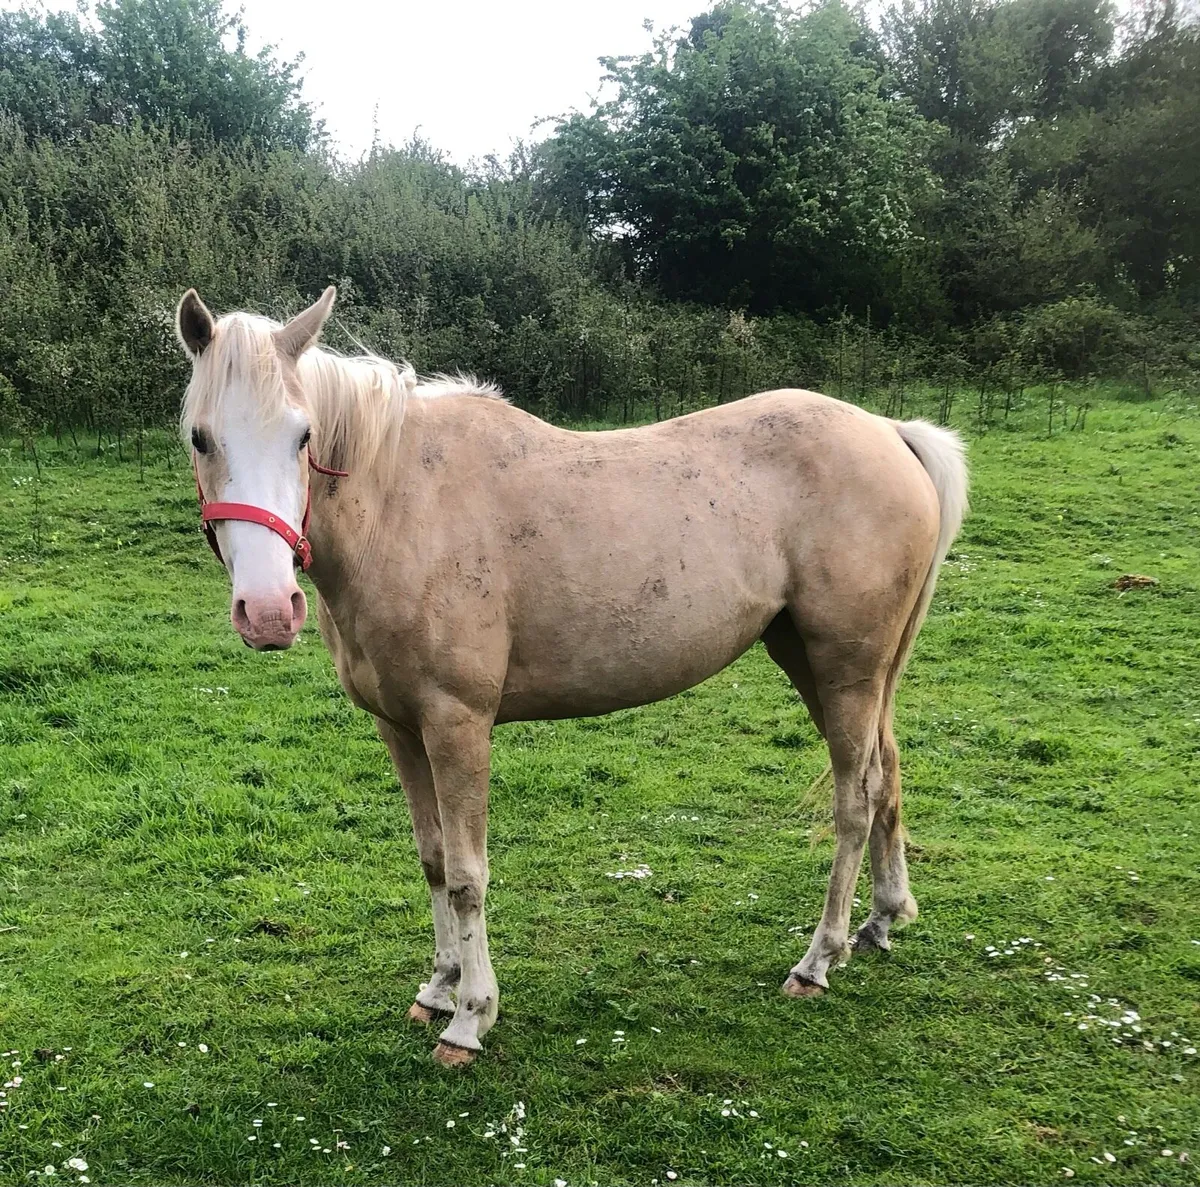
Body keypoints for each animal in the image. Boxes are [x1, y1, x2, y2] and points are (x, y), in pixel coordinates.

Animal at [176, 286, 967, 1065]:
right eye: (199, 437)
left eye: (303, 436)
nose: (269, 611)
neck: (403, 506)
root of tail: (889, 431)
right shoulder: (399, 727)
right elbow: (433, 859)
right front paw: (438, 986)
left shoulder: (457, 724)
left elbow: (467, 874)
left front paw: (470, 1017)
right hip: (817, 662)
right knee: (886, 775)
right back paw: (881, 920)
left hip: (846, 669)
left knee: (854, 801)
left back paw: (818, 958)